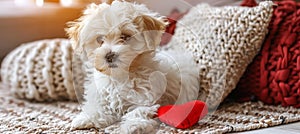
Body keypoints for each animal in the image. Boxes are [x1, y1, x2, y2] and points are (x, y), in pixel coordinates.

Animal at [67, 0, 200, 133]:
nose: (109, 55)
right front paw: (85, 119)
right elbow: (97, 107)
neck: (121, 76)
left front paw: (133, 126)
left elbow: (138, 111)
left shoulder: (146, 97)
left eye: (125, 37)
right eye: (100, 40)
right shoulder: (101, 94)